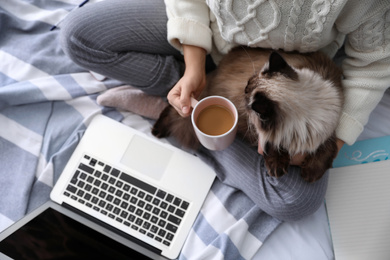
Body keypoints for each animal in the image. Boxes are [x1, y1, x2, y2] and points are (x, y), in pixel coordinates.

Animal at [152, 46, 344, 182]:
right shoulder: (260, 133)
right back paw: (157, 131)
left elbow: (328, 149)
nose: (244, 93)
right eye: (246, 86)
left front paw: (310, 173)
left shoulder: (327, 130)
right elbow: (272, 146)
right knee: (172, 110)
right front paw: (278, 166)